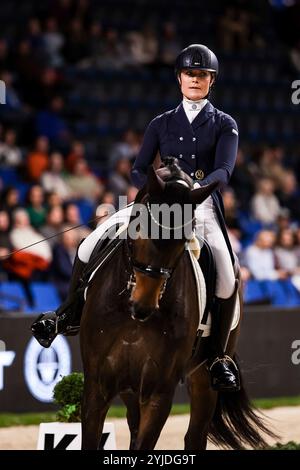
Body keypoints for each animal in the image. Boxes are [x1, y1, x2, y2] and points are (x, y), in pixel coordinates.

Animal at [80, 162, 274, 452]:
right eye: (140, 227)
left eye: (183, 241)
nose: (143, 305)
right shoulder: (96, 387)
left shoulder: (159, 391)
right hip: (129, 388)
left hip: (204, 379)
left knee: (195, 436)